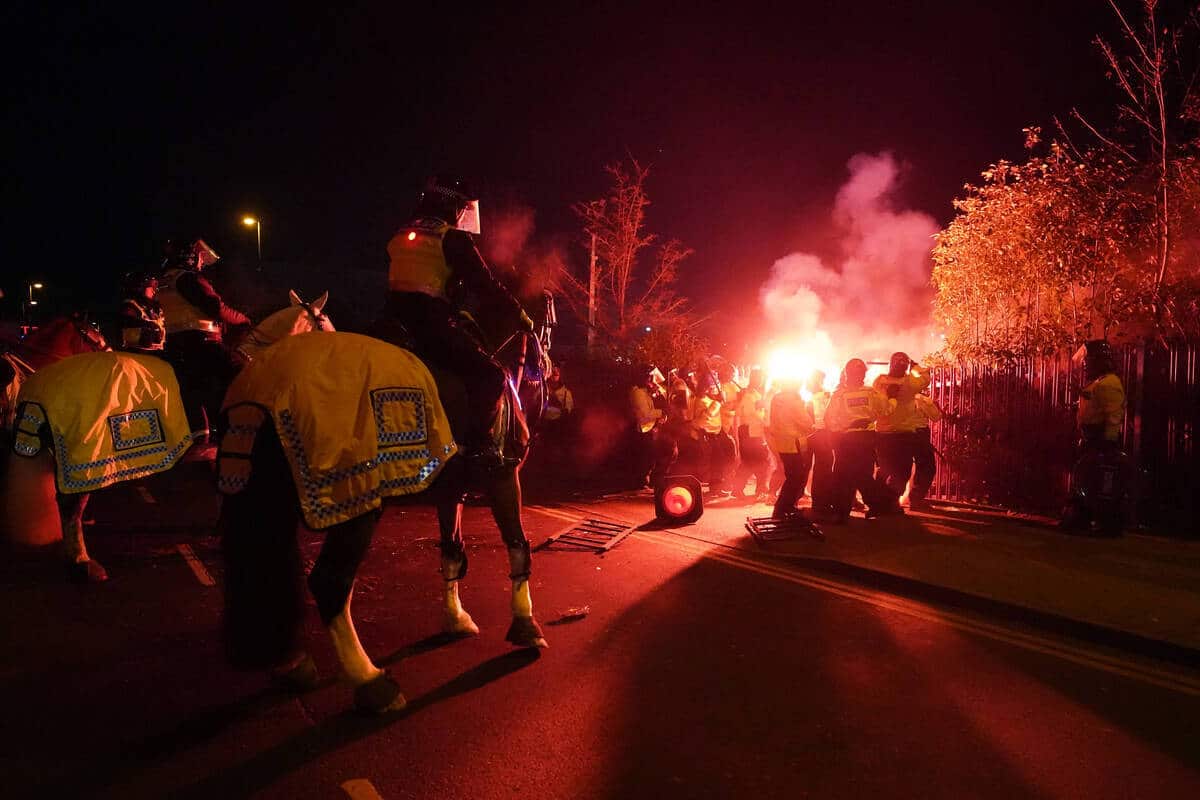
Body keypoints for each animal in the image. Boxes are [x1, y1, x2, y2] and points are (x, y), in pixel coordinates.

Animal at [217, 302, 552, 714]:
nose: (546, 373)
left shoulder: (449, 488)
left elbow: (452, 553)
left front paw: (455, 619)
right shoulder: (503, 473)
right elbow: (517, 544)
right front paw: (526, 625)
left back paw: (291, 664)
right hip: (359, 504)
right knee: (329, 582)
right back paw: (371, 682)